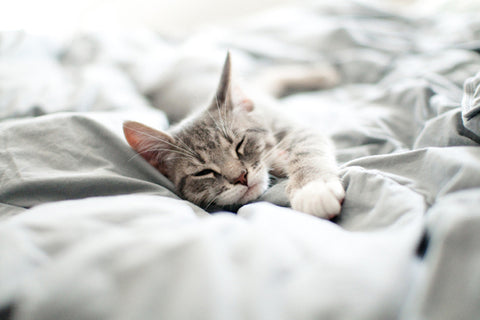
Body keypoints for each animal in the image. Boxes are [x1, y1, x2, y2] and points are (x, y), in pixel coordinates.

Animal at [122, 53, 344, 219]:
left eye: (240, 144)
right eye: (203, 172)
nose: (241, 177)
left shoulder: (297, 128)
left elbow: (306, 150)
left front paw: (313, 189)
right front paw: (280, 162)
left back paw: (322, 75)